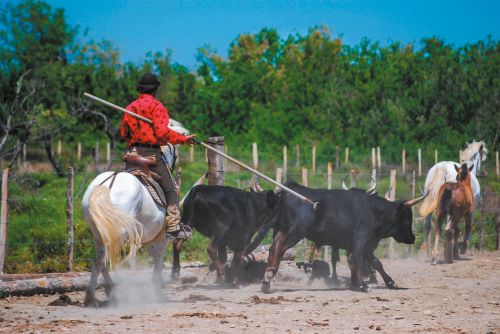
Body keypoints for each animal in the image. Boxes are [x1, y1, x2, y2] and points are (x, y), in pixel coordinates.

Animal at [82, 121, 186, 306]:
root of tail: (108, 184)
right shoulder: (161, 239)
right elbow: (158, 261)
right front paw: (157, 292)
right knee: (112, 256)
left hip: (99, 232)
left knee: (100, 258)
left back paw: (95, 295)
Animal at [260, 181, 424, 294]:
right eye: (407, 217)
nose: (412, 238)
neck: (373, 210)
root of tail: (292, 188)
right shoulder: (361, 240)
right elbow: (358, 260)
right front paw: (363, 286)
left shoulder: (366, 244)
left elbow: (376, 263)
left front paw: (390, 283)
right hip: (296, 231)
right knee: (281, 248)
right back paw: (268, 276)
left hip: (282, 230)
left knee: (274, 248)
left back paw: (266, 282)